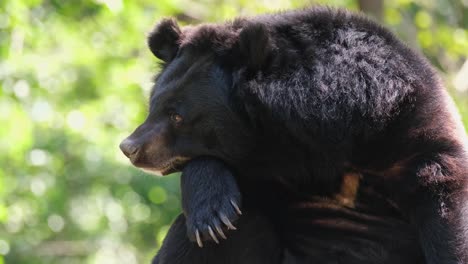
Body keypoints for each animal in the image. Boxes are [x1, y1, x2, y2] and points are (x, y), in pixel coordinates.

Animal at [119, 6, 468, 264]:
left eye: (177, 115)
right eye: (153, 105)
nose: (129, 147)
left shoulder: (414, 138)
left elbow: (448, 212)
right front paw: (212, 212)